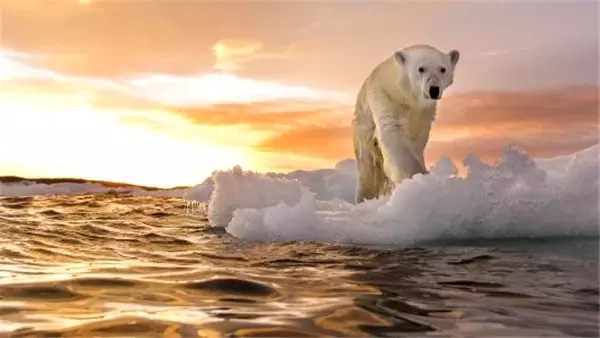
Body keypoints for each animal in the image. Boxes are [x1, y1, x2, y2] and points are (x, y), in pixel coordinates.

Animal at [352, 45, 460, 203]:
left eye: (442, 69)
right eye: (421, 68)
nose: (433, 89)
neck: (407, 98)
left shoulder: (423, 114)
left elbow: (417, 141)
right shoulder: (385, 99)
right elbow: (393, 136)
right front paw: (415, 178)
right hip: (363, 127)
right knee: (368, 167)